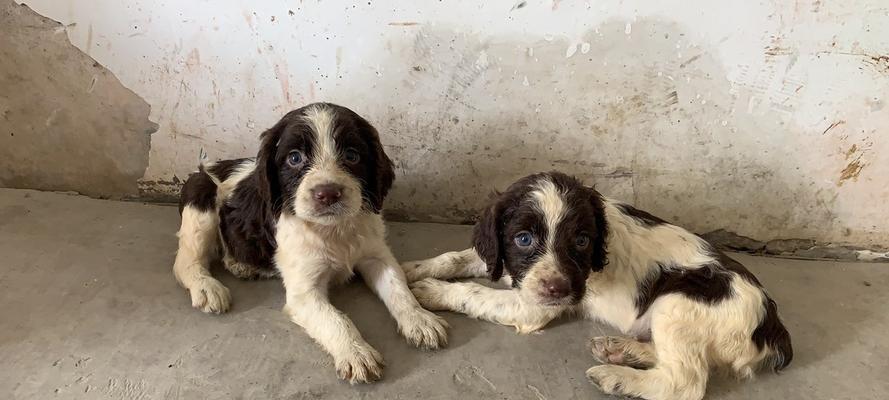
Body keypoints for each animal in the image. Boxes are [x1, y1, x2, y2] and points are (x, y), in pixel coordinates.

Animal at [171, 101, 448, 382]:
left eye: (352, 156)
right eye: (294, 158)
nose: (327, 194)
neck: (333, 229)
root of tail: (208, 166)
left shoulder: (376, 255)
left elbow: (398, 287)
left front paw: (420, 319)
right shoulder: (304, 291)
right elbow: (335, 318)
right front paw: (356, 353)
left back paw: (242, 265)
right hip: (201, 203)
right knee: (186, 261)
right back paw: (207, 287)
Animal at [402, 172, 792, 400]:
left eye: (582, 241)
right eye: (523, 238)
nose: (558, 290)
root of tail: (771, 326)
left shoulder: (533, 306)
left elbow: (475, 292)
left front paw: (428, 293)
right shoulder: (506, 263)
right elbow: (457, 257)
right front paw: (412, 270)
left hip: (679, 302)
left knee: (685, 381)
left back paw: (615, 378)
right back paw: (621, 350)